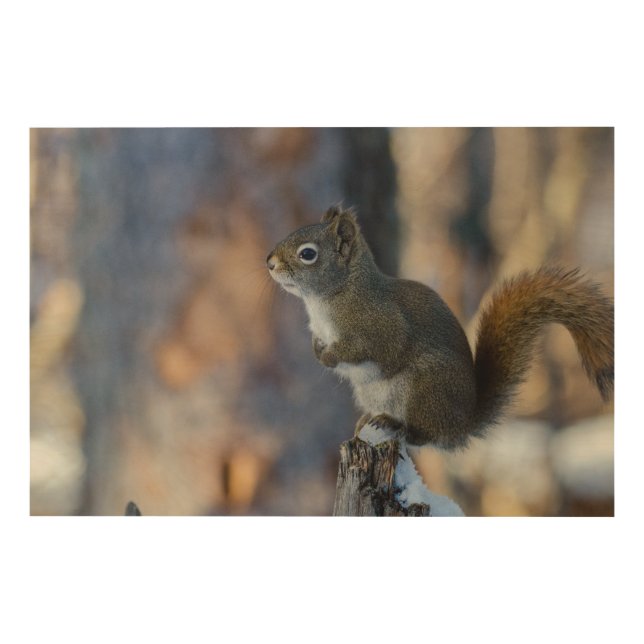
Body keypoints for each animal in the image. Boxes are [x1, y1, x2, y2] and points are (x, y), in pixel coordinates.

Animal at [266, 204, 614, 450]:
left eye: (308, 254)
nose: (269, 262)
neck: (330, 297)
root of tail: (462, 424)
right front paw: (317, 349)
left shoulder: (381, 325)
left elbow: (374, 348)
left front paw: (329, 357)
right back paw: (369, 419)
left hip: (425, 386)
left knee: (426, 436)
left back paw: (397, 426)